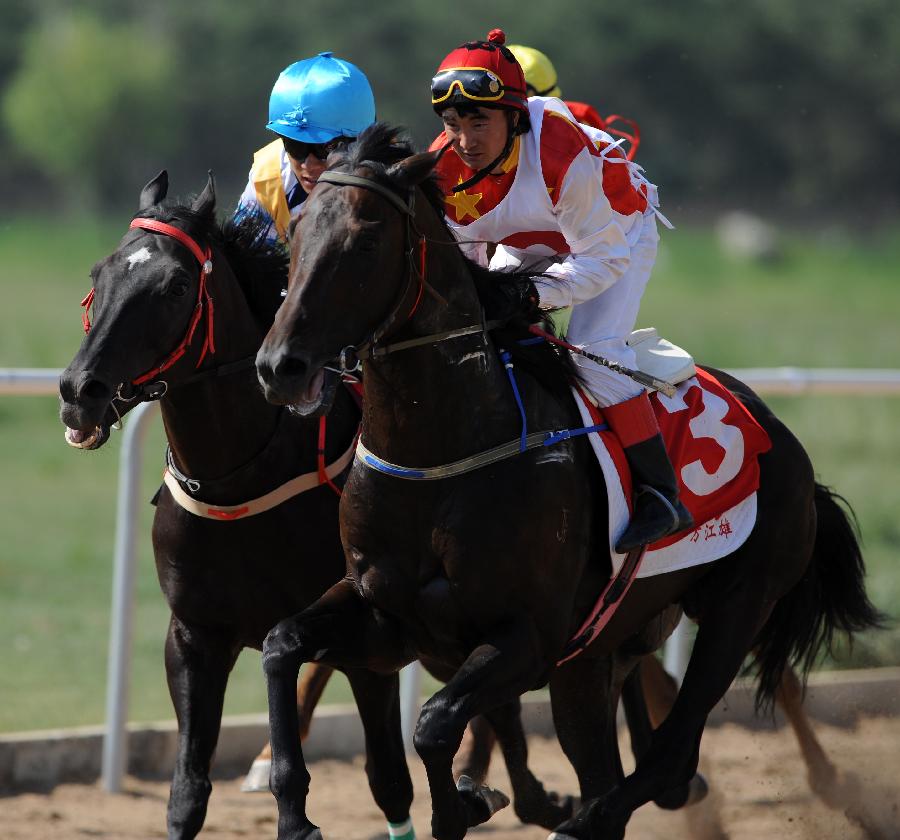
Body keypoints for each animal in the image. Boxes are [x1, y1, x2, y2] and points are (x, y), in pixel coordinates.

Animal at [255, 126, 884, 840]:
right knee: (613, 762)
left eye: (364, 241)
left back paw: (581, 821)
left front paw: (468, 800)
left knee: (669, 757)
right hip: (599, 657)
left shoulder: (529, 638)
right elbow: (282, 646)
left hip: (739, 606)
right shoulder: (389, 618)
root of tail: (788, 445)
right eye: (295, 236)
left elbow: (436, 723)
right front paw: (293, 810)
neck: (440, 458)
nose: (280, 366)